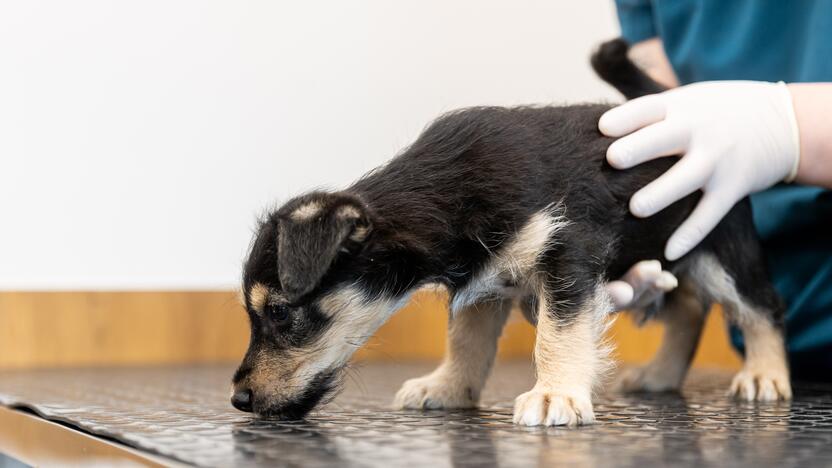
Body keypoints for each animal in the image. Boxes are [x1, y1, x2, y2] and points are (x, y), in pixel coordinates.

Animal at [231, 40, 788, 426]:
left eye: (279, 313)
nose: (238, 398)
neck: (446, 192)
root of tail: (664, 98)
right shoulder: (483, 285)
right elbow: (466, 343)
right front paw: (448, 388)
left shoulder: (567, 252)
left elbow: (557, 335)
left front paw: (555, 394)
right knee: (689, 307)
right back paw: (660, 375)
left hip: (724, 245)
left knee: (759, 308)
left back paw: (765, 374)